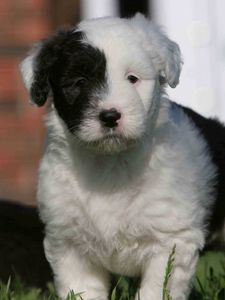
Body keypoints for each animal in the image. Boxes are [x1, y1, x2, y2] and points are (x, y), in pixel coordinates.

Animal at [20, 14, 224, 300]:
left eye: (132, 79)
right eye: (79, 83)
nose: (109, 116)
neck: (111, 162)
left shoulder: (171, 241)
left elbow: (156, 289)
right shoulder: (69, 243)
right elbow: (82, 289)